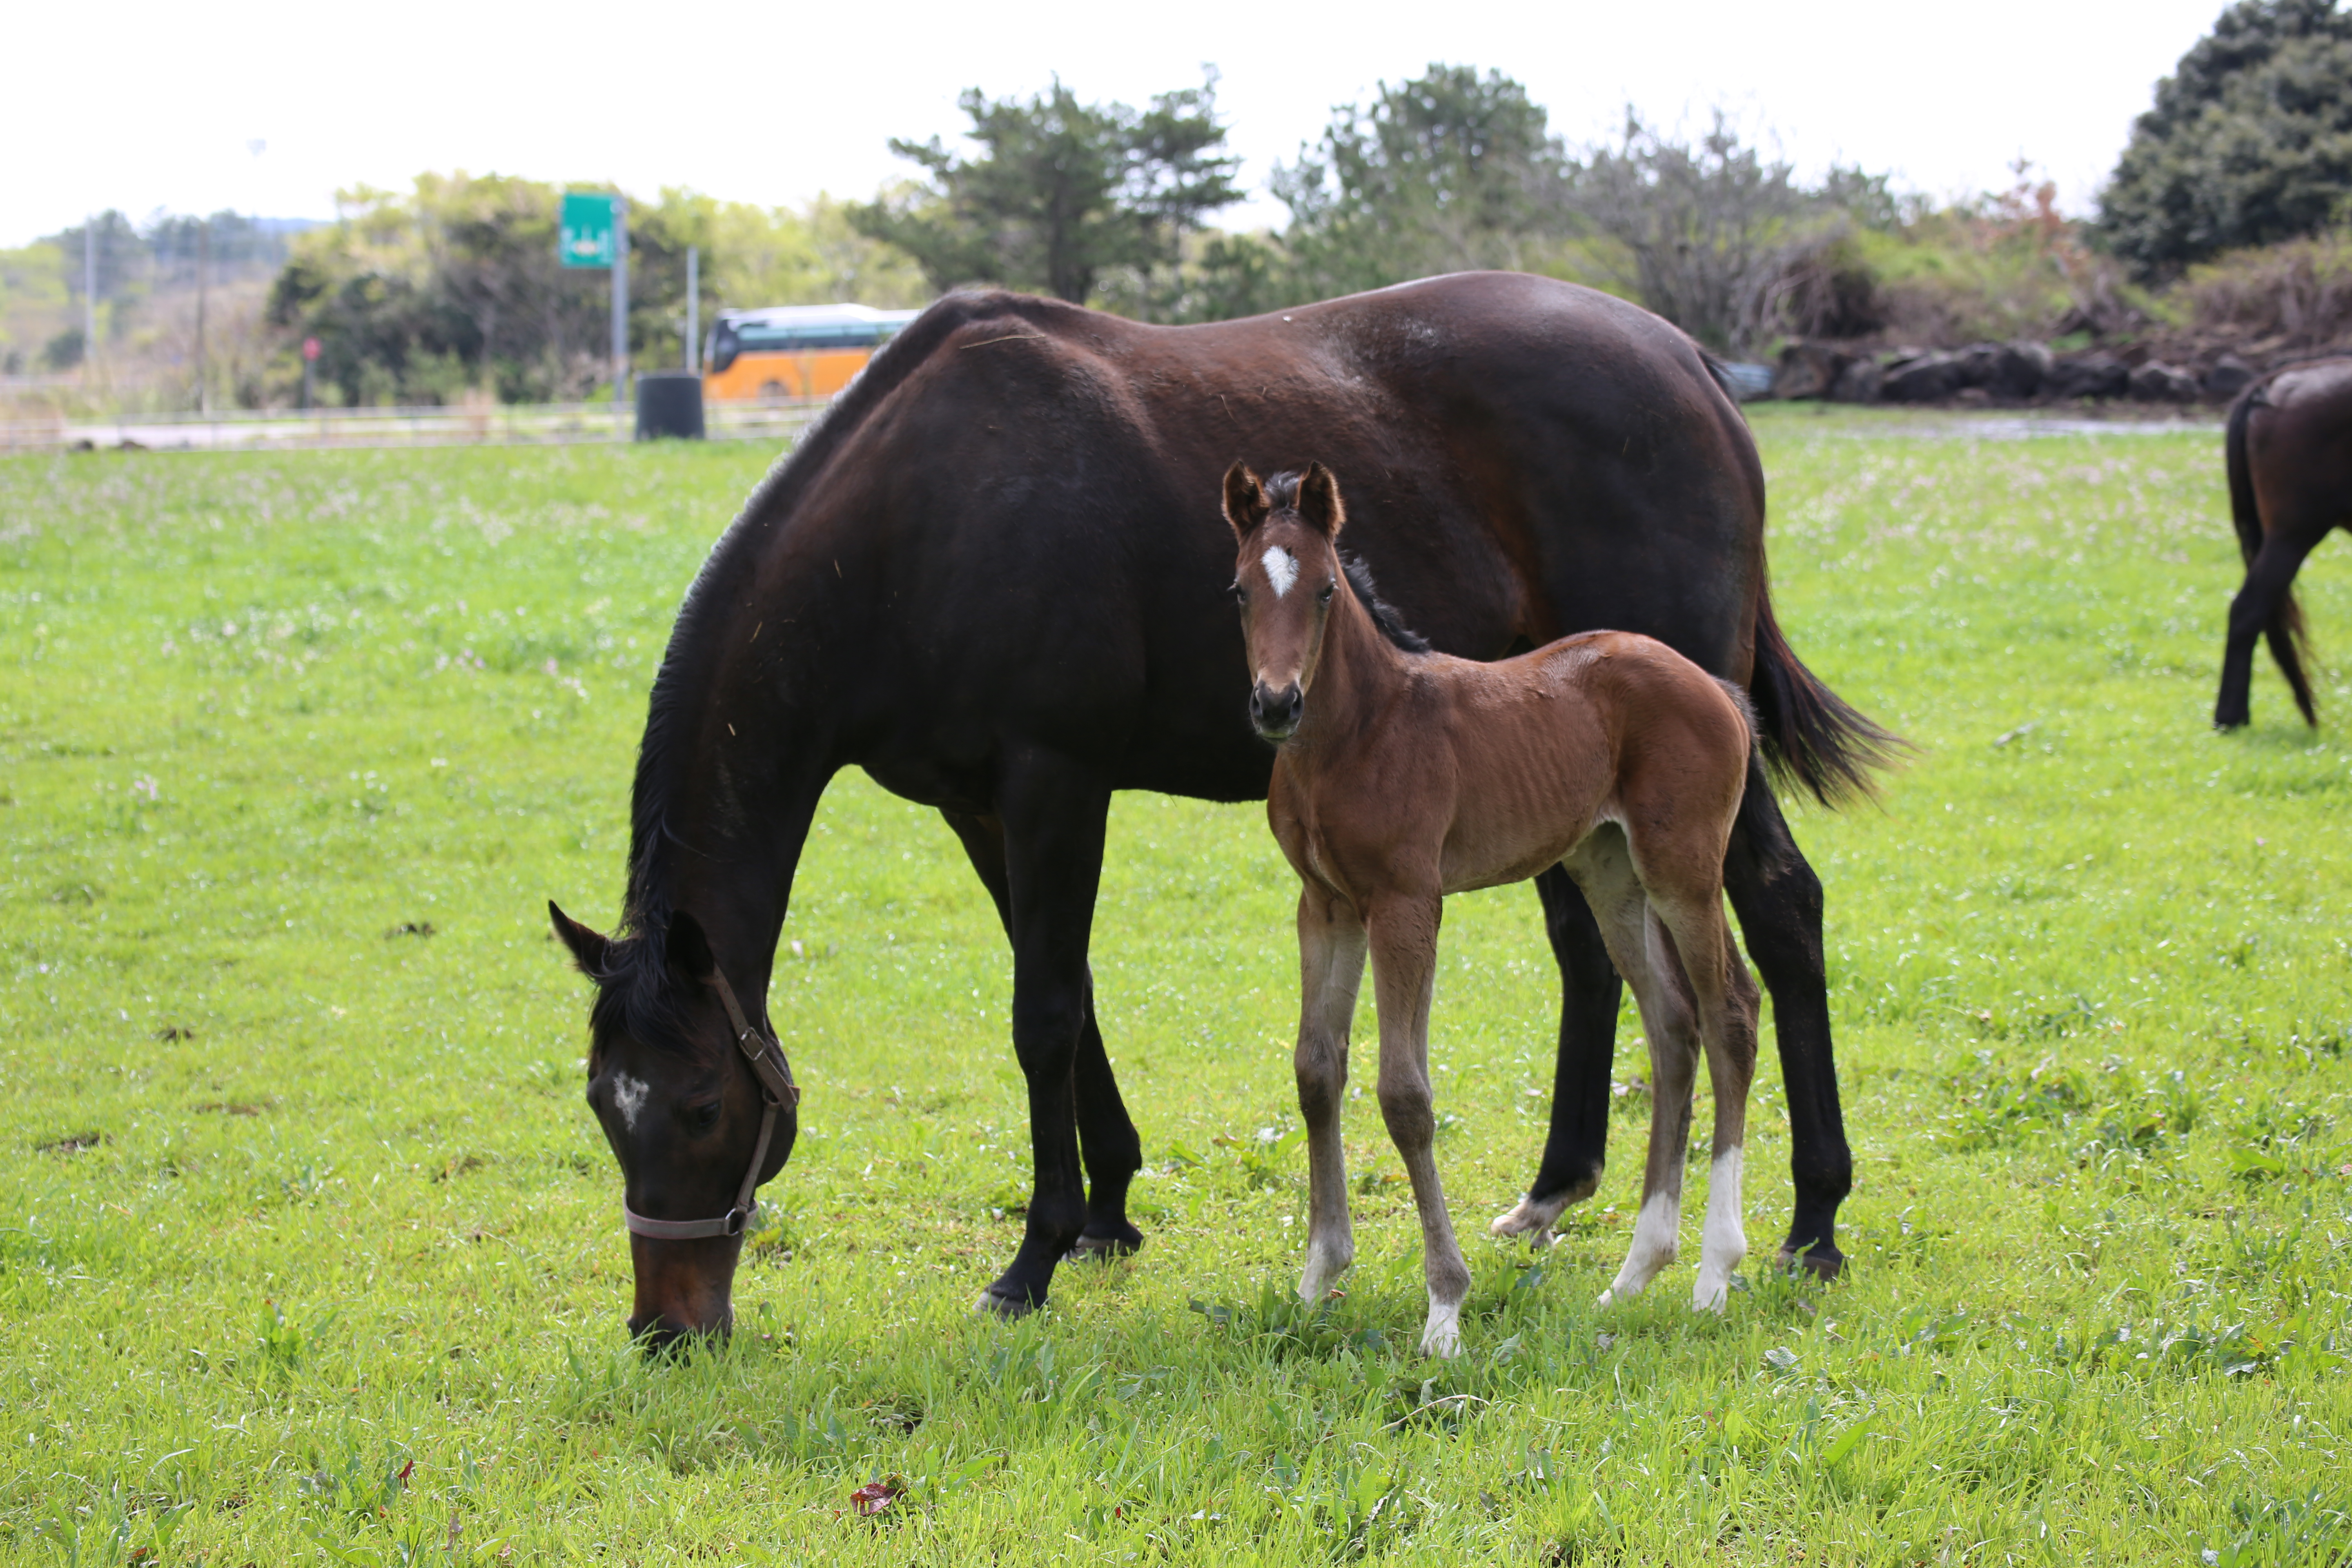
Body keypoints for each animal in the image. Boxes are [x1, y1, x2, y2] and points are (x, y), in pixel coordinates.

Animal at [1232, 461, 1768, 1354]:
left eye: (1325, 591)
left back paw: (1713, 1275)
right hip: (1608, 870)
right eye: (1239, 590)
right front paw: (1316, 1282)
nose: (1276, 705)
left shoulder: (1406, 903)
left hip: (1684, 869)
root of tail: (1720, 690)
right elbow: (1316, 1070)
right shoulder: (1326, 905)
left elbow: (1405, 1095)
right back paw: (1634, 1274)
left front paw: (1445, 1309)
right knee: (1671, 1024)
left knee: (1730, 1010)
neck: (1359, 731)